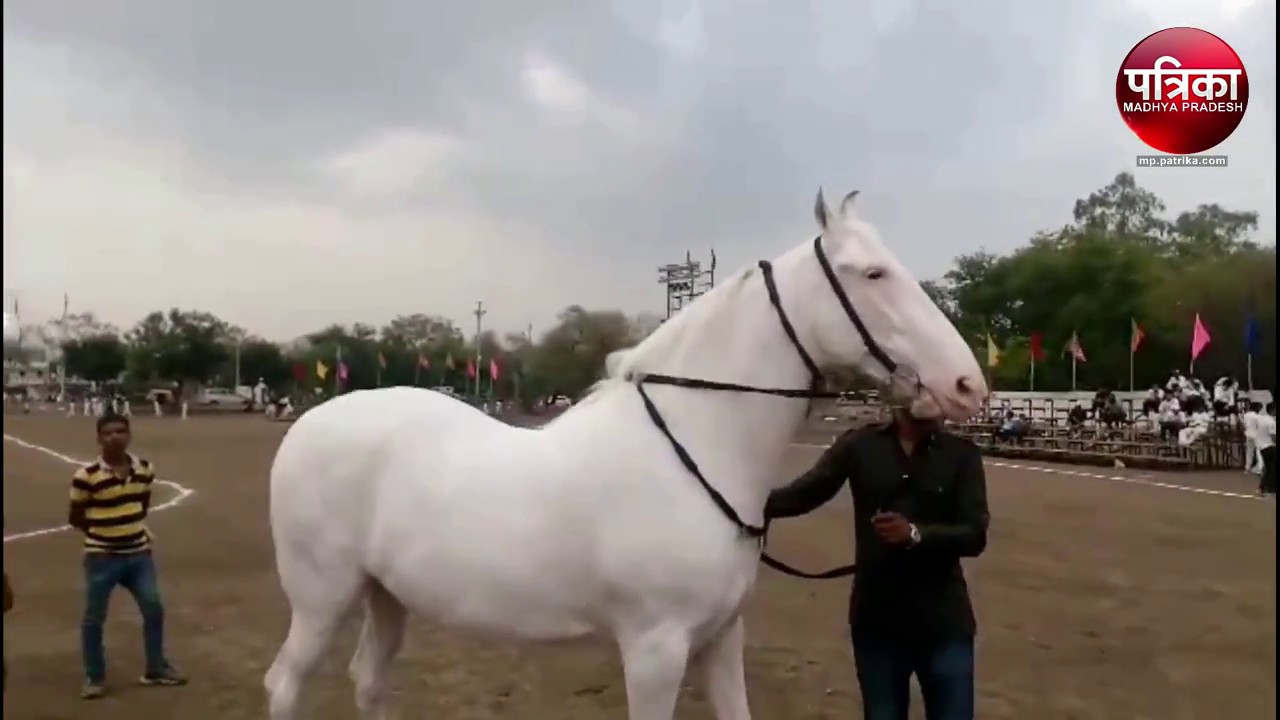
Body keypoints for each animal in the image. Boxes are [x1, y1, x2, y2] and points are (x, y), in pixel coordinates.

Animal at [264, 189, 988, 720]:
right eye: (873, 273)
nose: (967, 385)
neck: (695, 449)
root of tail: (310, 424)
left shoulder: (721, 639)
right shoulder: (654, 649)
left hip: (385, 595)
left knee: (368, 680)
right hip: (323, 598)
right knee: (286, 684)